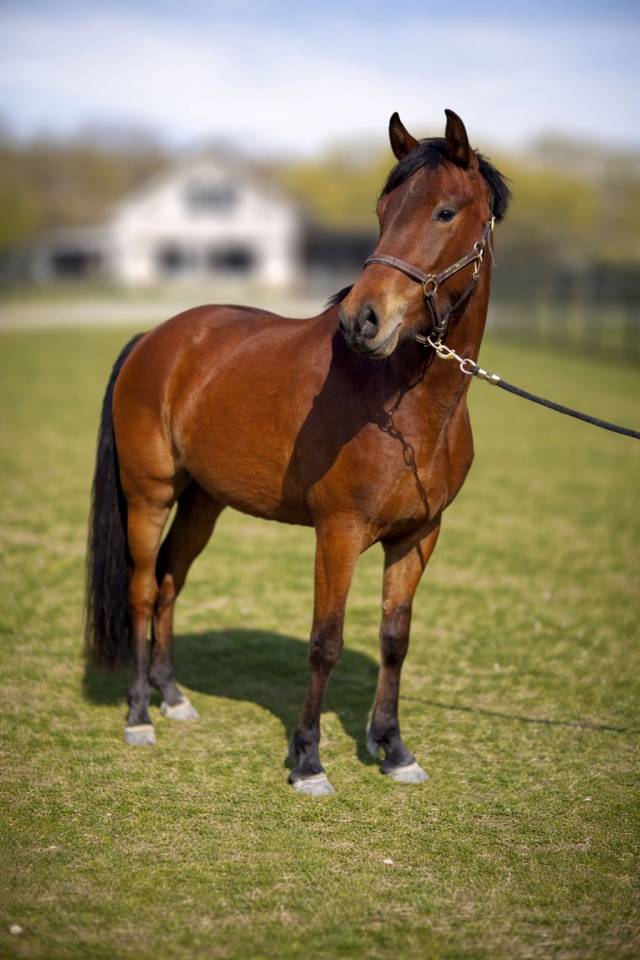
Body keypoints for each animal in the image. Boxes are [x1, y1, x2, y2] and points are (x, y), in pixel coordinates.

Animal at [86, 109, 510, 796]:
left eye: (446, 212)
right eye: (383, 209)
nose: (362, 320)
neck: (404, 402)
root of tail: (155, 338)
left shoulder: (418, 536)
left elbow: (395, 638)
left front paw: (394, 750)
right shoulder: (338, 532)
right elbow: (325, 641)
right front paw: (308, 759)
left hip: (204, 502)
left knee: (173, 579)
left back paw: (173, 697)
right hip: (148, 496)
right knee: (144, 588)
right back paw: (139, 714)